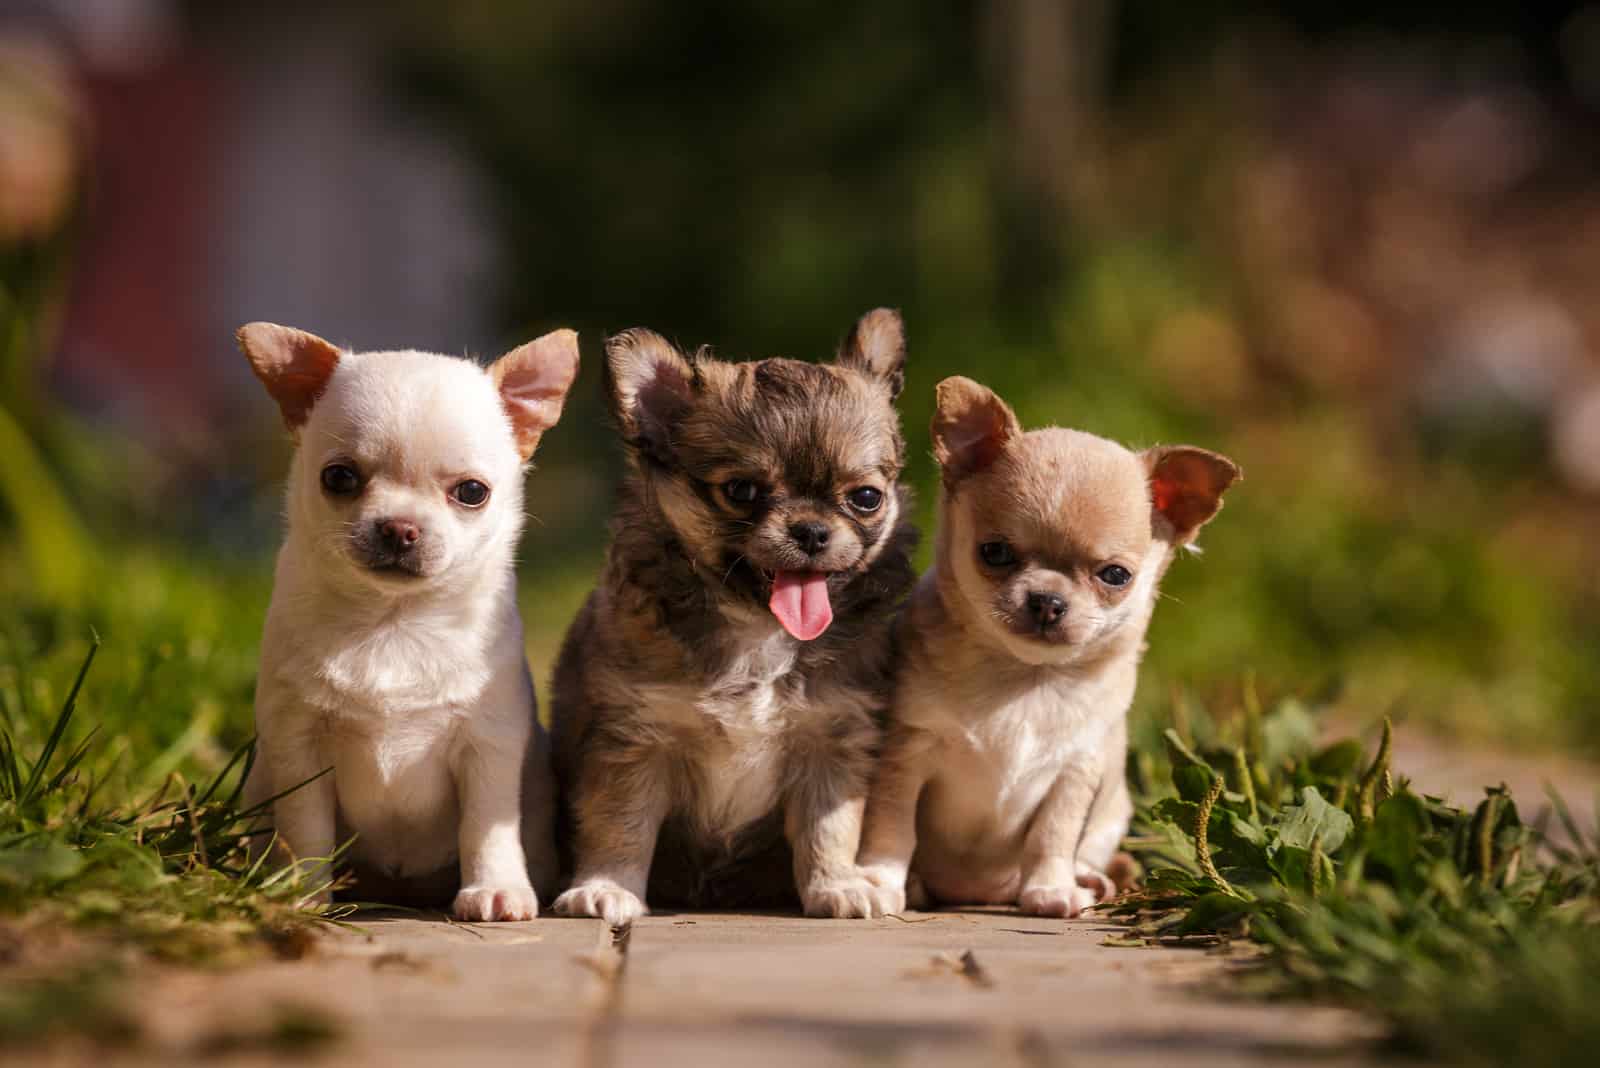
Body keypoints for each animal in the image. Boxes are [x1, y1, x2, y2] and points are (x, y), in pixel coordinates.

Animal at [240, 321, 579, 920]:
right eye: (339, 478)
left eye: (472, 492)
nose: (399, 528)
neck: (392, 622)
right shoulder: (299, 746)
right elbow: (305, 830)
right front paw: (303, 894)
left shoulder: (488, 747)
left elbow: (486, 827)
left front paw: (494, 889)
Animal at [553, 308, 921, 927]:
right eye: (743, 491)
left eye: (866, 498)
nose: (811, 530)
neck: (759, 631)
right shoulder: (633, 740)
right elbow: (620, 826)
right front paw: (606, 888)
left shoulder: (832, 740)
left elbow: (829, 828)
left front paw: (838, 885)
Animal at [851, 375, 1235, 920]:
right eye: (994, 552)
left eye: (1115, 576)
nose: (1048, 601)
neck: (1025, 678)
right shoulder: (906, 755)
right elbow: (892, 828)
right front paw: (880, 881)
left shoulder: (1075, 773)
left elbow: (1052, 837)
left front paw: (1050, 890)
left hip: (1112, 810)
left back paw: (1089, 879)